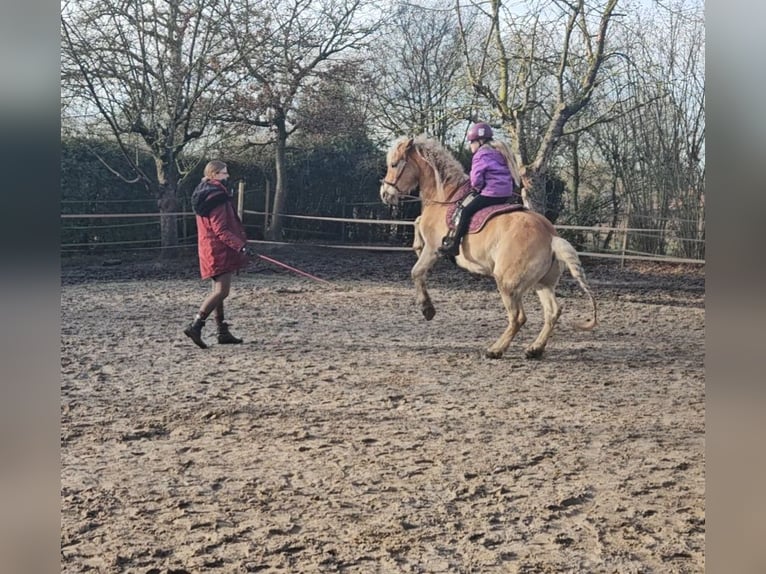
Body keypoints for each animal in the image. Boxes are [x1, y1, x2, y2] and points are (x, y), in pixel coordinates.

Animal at [379, 135, 597, 359]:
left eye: (394, 164)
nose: (385, 194)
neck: (446, 197)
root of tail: (551, 237)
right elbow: (416, 222)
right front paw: (416, 246)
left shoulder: (433, 249)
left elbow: (416, 272)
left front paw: (427, 309)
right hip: (542, 284)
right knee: (552, 311)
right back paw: (534, 349)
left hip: (508, 284)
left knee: (518, 317)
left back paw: (496, 349)